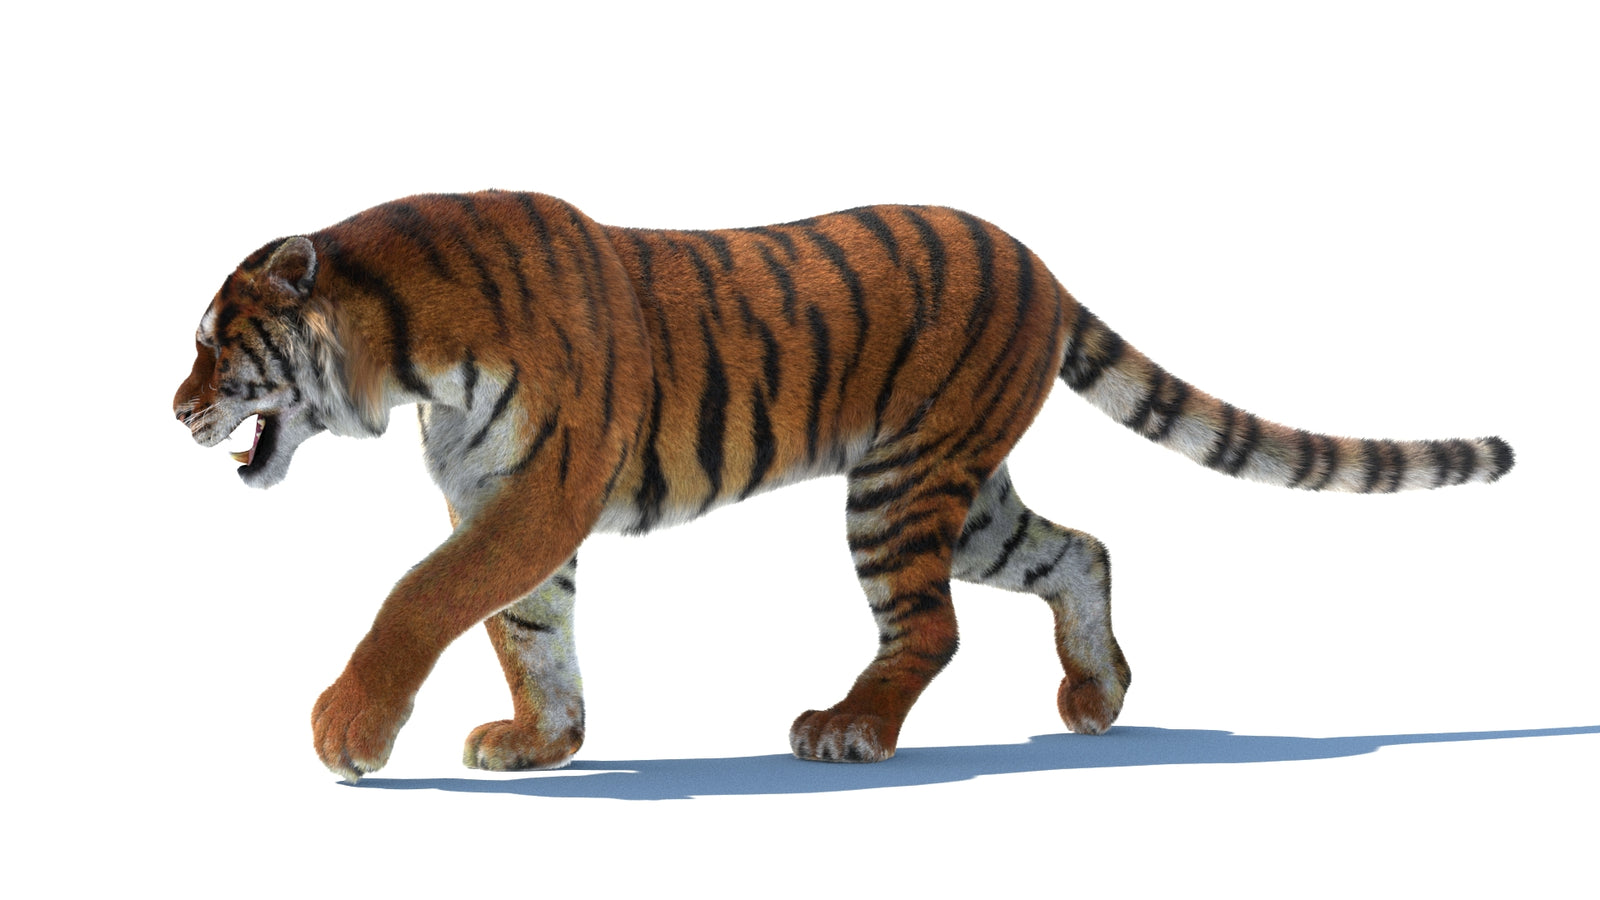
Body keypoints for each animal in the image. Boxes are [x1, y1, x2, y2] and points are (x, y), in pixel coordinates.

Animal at [173, 191, 1514, 781]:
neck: (403, 356)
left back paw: (850, 729)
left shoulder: (537, 491)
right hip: (963, 493)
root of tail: (1040, 262)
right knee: (1080, 548)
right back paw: (1097, 695)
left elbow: (422, 597)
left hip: (900, 487)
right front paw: (542, 740)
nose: (174, 408)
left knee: (931, 625)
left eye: (214, 344)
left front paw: (347, 733)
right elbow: (528, 630)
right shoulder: (501, 499)